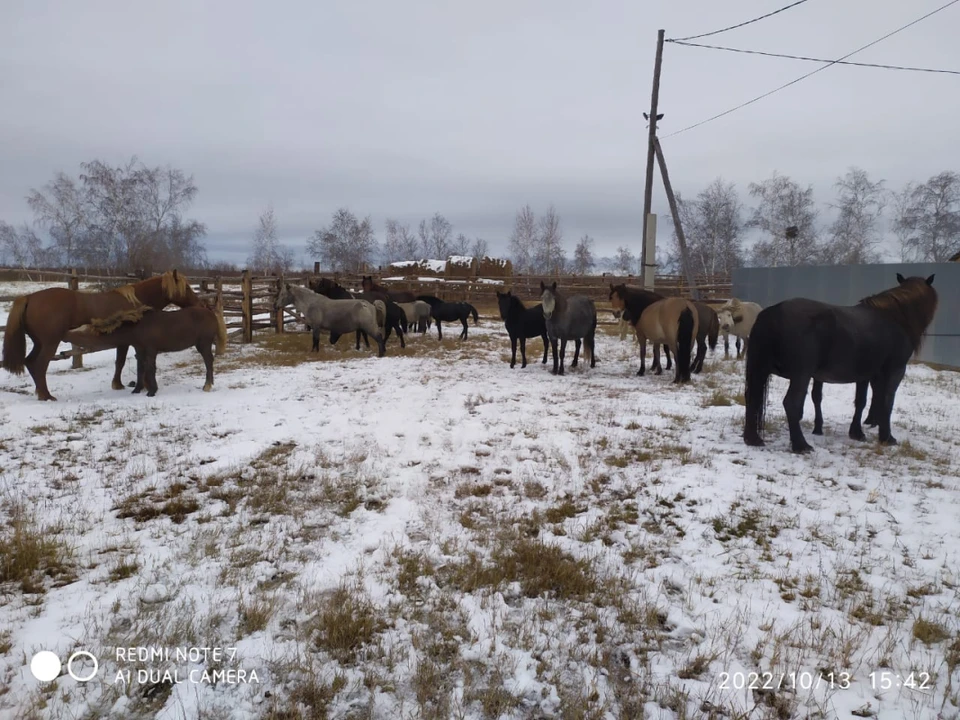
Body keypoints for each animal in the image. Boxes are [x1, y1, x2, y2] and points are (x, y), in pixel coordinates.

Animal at [1, 270, 204, 402]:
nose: (199, 304)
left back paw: (40, 393)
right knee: (40, 365)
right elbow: (121, 362)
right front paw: (120, 385)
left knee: (30, 363)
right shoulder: (127, 342)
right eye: (186, 287)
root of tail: (29, 298)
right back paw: (47, 396)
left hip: (38, 343)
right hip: (50, 343)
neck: (135, 302)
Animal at [64, 302, 228, 396]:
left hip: (204, 343)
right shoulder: (140, 350)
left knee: (209, 361)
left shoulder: (150, 349)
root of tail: (211, 312)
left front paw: (151, 391)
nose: (65, 334)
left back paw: (207, 385)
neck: (136, 327)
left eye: (81, 331)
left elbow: (150, 368)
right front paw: (137, 389)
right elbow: (140, 369)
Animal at [744, 272, 936, 452]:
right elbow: (887, 402)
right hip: (801, 375)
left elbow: (862, 401)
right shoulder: (895, 370)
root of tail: (774, 312)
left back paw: (753, 439)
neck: (895, 318)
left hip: (760, 370)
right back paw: (801, 445)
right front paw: (887, 437)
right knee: (791, 404)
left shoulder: (866, 375)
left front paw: (857, 433)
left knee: (752, 398)